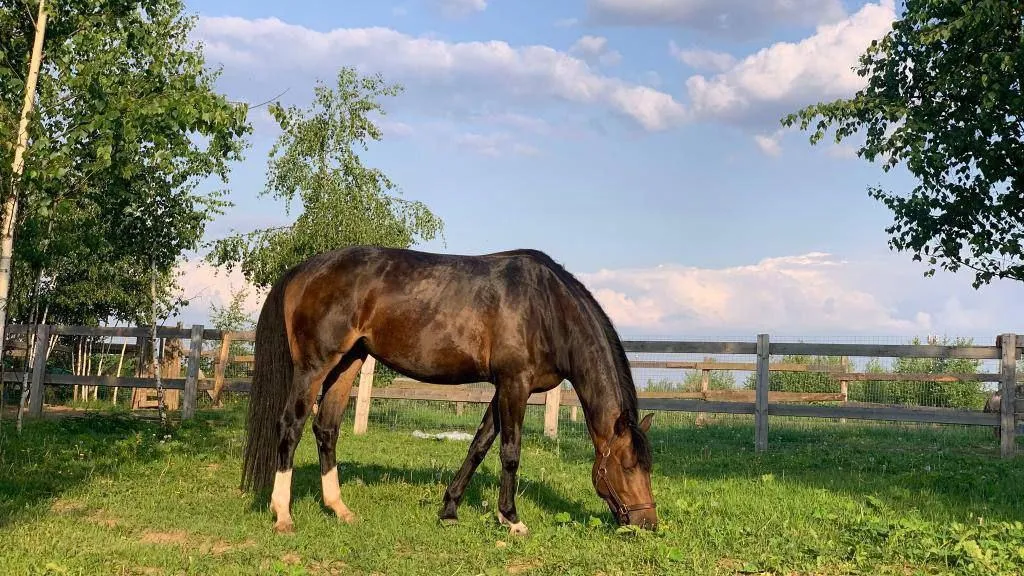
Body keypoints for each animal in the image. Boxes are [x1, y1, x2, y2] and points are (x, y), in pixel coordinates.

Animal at [237, 245, 655, 532]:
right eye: (628, 465)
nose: (648, 523)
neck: (547, 307)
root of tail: (305, 270)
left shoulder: (503, 388)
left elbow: (479, 445)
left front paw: (450, 509)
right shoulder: (515, 384)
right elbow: (510, 453)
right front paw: (511, 519)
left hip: (348, 362)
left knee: (326, 428)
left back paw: (339, 509)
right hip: (314, 366)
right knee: (290, 426)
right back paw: (283, 514)